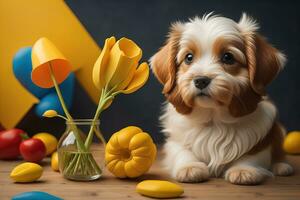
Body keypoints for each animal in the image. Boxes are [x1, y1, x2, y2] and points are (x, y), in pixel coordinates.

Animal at [150, 12, 292, 184]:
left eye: (228, 57)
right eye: (189, 57)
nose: (201, 80)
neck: (213, 118)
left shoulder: (264, 138)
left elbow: (253, 154)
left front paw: (243, 169)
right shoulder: (175, 140)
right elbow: (182, 151)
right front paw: (189, 167)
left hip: (279, 131)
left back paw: (281, 166)